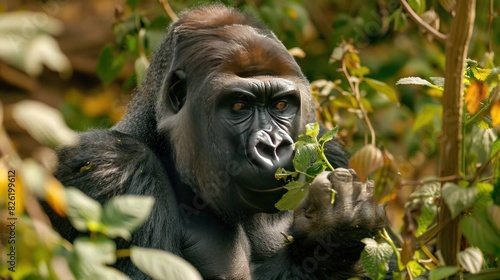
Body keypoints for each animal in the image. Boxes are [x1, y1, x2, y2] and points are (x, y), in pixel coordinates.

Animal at [48, 4, 386, 280]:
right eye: (239, 106)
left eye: (280, 105)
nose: (274, 146)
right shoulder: (113, 165)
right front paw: (334, 230)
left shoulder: (329, 151)